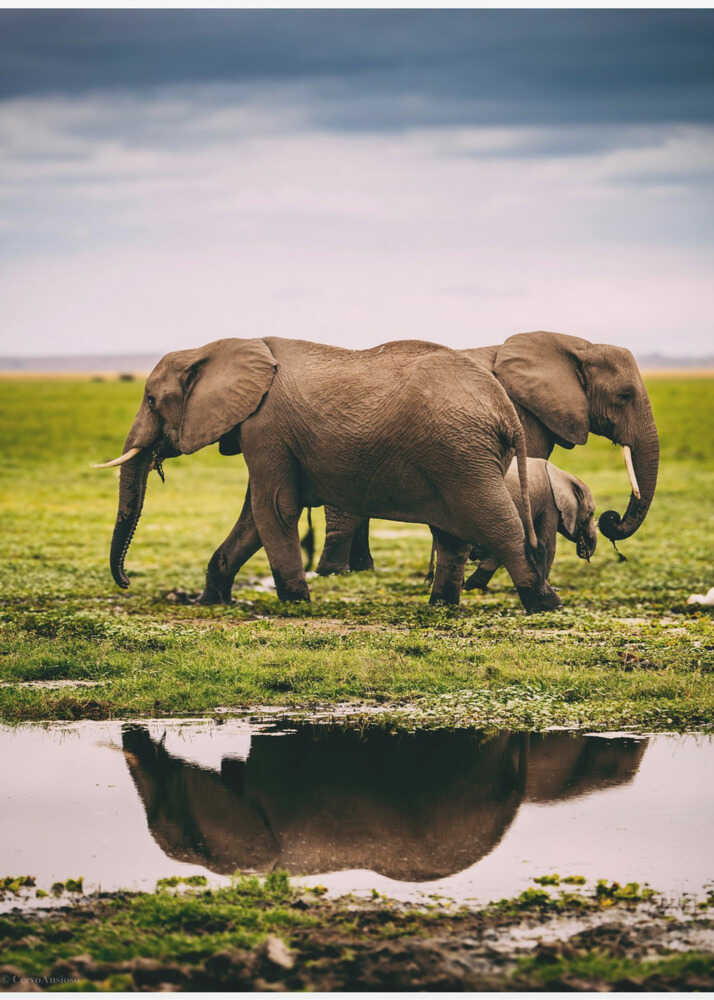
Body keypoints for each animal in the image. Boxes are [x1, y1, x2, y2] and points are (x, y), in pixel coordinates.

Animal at [96, 337, 561, 612]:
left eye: (151, 400)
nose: (125, 581)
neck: (220, 347)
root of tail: (505, 410)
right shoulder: (263, 433)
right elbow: (252, 518)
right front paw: (210, 602)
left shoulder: (266, 426)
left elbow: (272, 509)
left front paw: (295, 603)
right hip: (458, 456)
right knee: (452, 533)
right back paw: (440, 606)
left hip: (461, 453)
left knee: (496, 522)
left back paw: (544, 604)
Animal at [315, 330, 659, 577]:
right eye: (624, 396)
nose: (611, 519)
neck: (577, 346)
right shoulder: (523, 414)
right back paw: (336, 572)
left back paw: (361, 569)